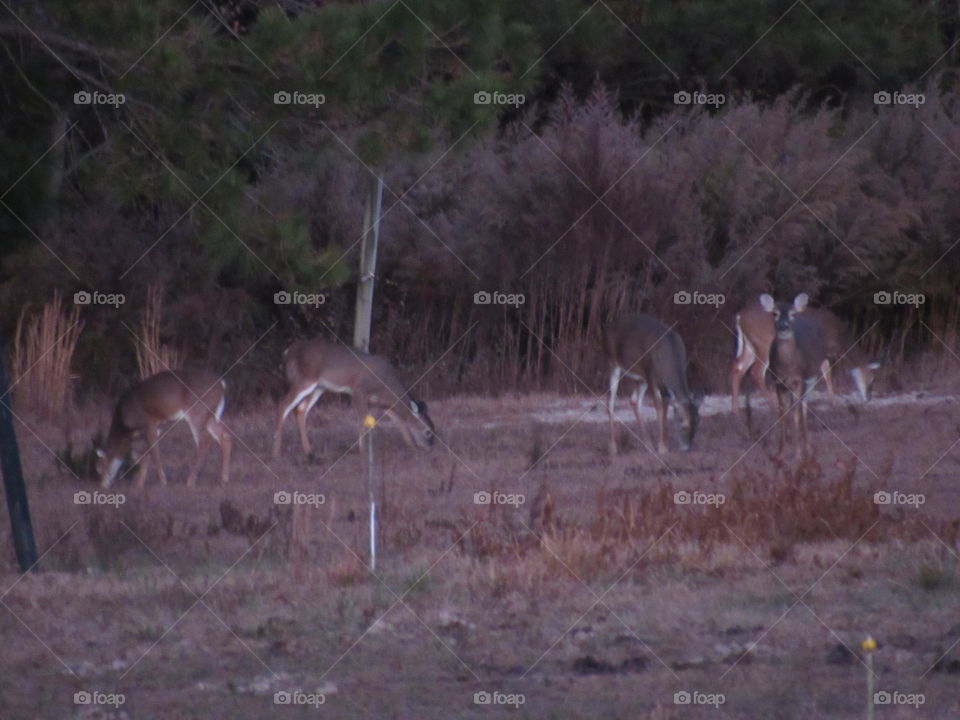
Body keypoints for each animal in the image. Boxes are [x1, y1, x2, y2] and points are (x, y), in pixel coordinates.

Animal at [95, 370, 232, 488]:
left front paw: (163, 481)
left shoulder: (148, 422)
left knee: (205, 441)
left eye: (100, 469)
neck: (124, 426)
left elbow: (154, 452)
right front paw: (139, 484)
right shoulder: (157, 426)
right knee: (225, 436)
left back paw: (190, 481)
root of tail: (222, 385)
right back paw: (223, 479)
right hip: (211, 416)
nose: (103, 486)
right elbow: (147, 452)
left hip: (197, 413)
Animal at [271, 338, 435, 458]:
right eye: (428, 431)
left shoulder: (380, 403)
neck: (386, 385)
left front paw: (411, 445)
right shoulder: (359, 390)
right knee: (283, 405)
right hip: (305, 378)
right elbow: (362, 420)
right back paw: (277, 452)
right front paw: (362, 451)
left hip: (319, 387)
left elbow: (399, 421)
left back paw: (309, 451)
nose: (430, 447)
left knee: (300, 410)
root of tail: (288, 352)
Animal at [605, 314, 700, 455]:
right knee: (611, 401)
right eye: (683, 425)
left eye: (697, 425)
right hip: (613, 362)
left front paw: (663, 445)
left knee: (634, 401)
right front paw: (662, 448)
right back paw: (612, 447)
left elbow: (665, 407)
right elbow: (658, 407)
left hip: (640, 378)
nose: (686, 448)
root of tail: (608, 326)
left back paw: (647, 444)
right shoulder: (651, 375)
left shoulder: (661, 384)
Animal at [730, 296, 880, 417]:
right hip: (764, 343)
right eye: (872, 379)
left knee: (738, 367)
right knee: (756, 371)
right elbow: (823, 373)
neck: (838, 338)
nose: (868, 398)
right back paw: (773, 408)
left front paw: (833, 403)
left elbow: (827, 372)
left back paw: (736, 410)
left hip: (750, 345)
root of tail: (739, 316)